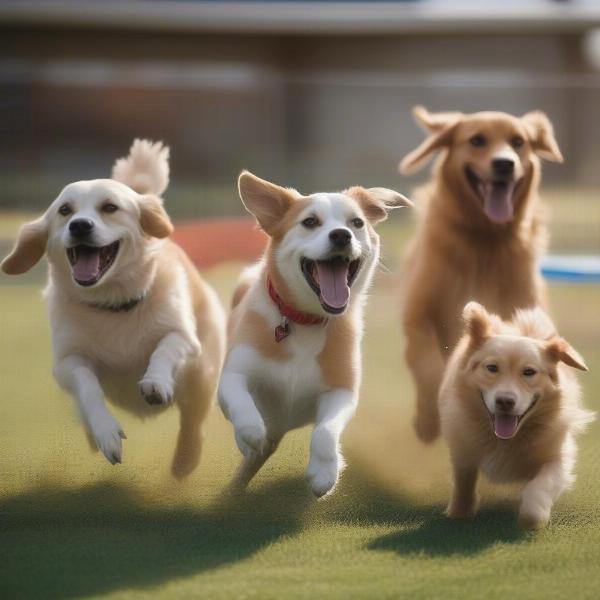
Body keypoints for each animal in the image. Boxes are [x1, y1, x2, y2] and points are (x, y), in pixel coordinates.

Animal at [1, 141, 226, 478]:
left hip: (204, 372)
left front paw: (156, 382)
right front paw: (105, 433)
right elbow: (88, 387)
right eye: (65, 210)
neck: (112, 305)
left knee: (193, 420)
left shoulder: (185, 339)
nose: (80, 225)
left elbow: (164, 348)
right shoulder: (68, 362)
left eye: (110, 207)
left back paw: (185, 460)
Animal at [219, 170, 412, 496]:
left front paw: (324, 472)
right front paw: (248, 434)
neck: (305, 320)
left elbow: (326, 430)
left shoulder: (343, 392)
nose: (341, 235)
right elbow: (241, 401)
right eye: (310, 222)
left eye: (357, 223)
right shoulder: (233, 375)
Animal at [398, 105, 564, 442]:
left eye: (518, 142)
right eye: (477, 140)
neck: (485, 239)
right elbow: (429, 366)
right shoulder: (417, 315)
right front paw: (429, 421)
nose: (504, 163)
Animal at [438, 302, 592, 528]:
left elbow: (542, 485)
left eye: (529, 372)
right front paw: (459, 512)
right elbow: (464, 479)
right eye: (492, 368)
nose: (505, 401)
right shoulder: (463, 447)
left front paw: (532, 515)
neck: (506, 440)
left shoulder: (559, 456)